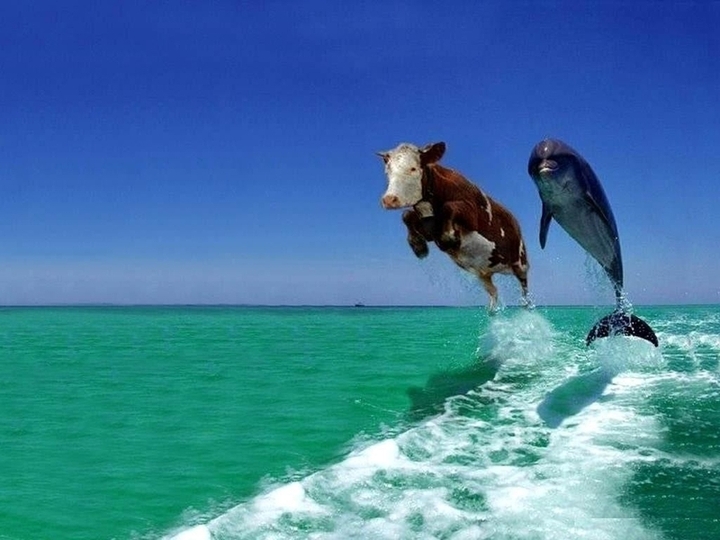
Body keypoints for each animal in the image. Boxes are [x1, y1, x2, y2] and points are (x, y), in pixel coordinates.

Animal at [378, 141, 530, 311]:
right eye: (387, 171)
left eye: (413, 168)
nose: (389, 199)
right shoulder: (429, 229)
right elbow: (406, 215)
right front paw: (419, 247)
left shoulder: (472, 213)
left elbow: (449, 207)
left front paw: (450, 239)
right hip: (483, 273)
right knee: (493, 291)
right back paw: (492, 310)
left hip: (520, 262)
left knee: (525, 288)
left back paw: (527, 306)